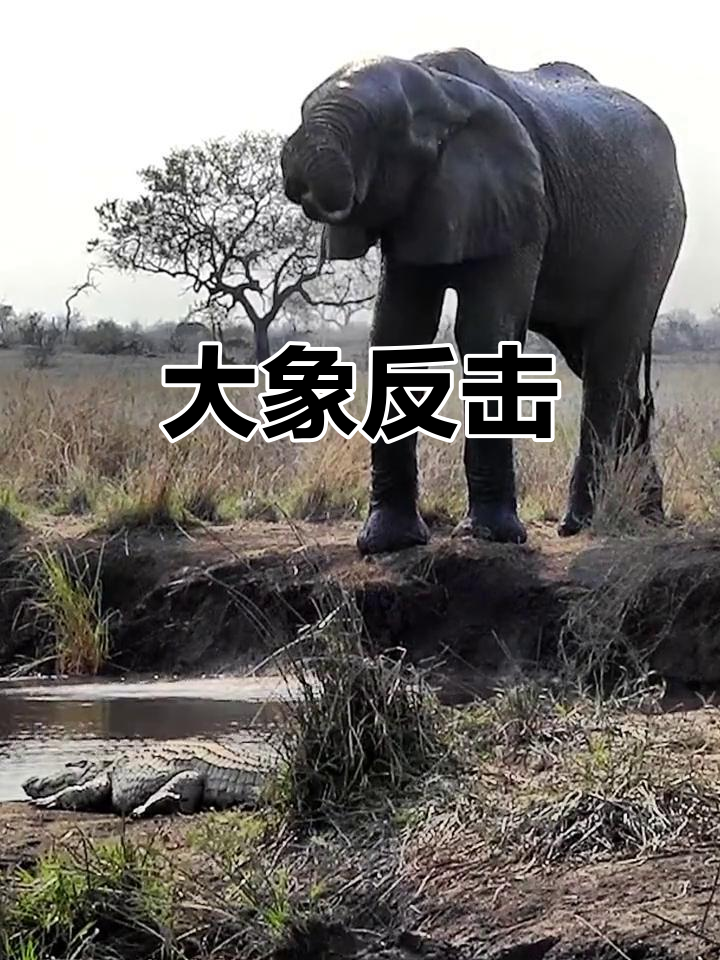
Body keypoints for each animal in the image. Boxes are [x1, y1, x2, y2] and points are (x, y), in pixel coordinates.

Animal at [281, 47, 686, 555]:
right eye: (301, 109)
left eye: (388, 129)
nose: (301, 179)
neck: (441, 89)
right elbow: (397, 333)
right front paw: (388, 544)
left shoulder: (521, 201)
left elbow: (484, 335)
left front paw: (490, 537)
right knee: (607, 363)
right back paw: (646, 514)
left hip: (659, 229)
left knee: (610, 361)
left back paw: (581, 523)